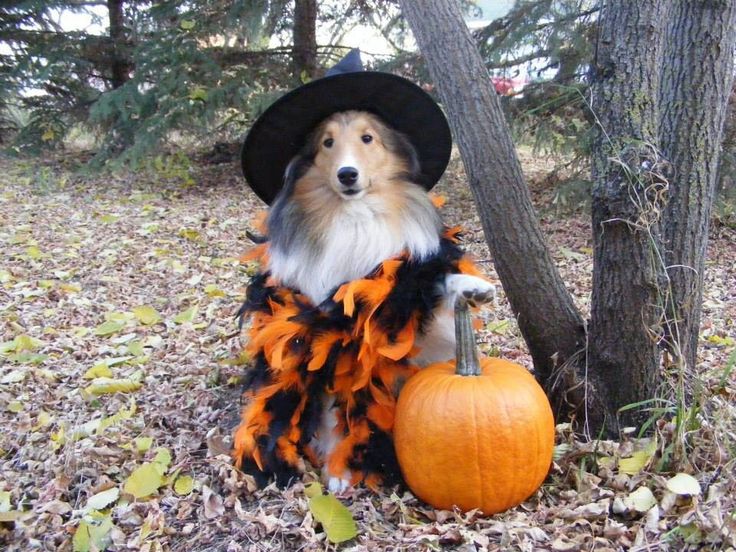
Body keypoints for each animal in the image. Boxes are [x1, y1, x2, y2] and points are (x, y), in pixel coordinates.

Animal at [258, 110, 494, 490]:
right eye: (327, 142)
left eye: (368, 138)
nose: (347, 174)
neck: (355, 217)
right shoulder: (323, 341)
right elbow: (334, 410)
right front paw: (338, 470)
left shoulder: (408, 283)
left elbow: (435, 282)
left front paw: (472, 286)